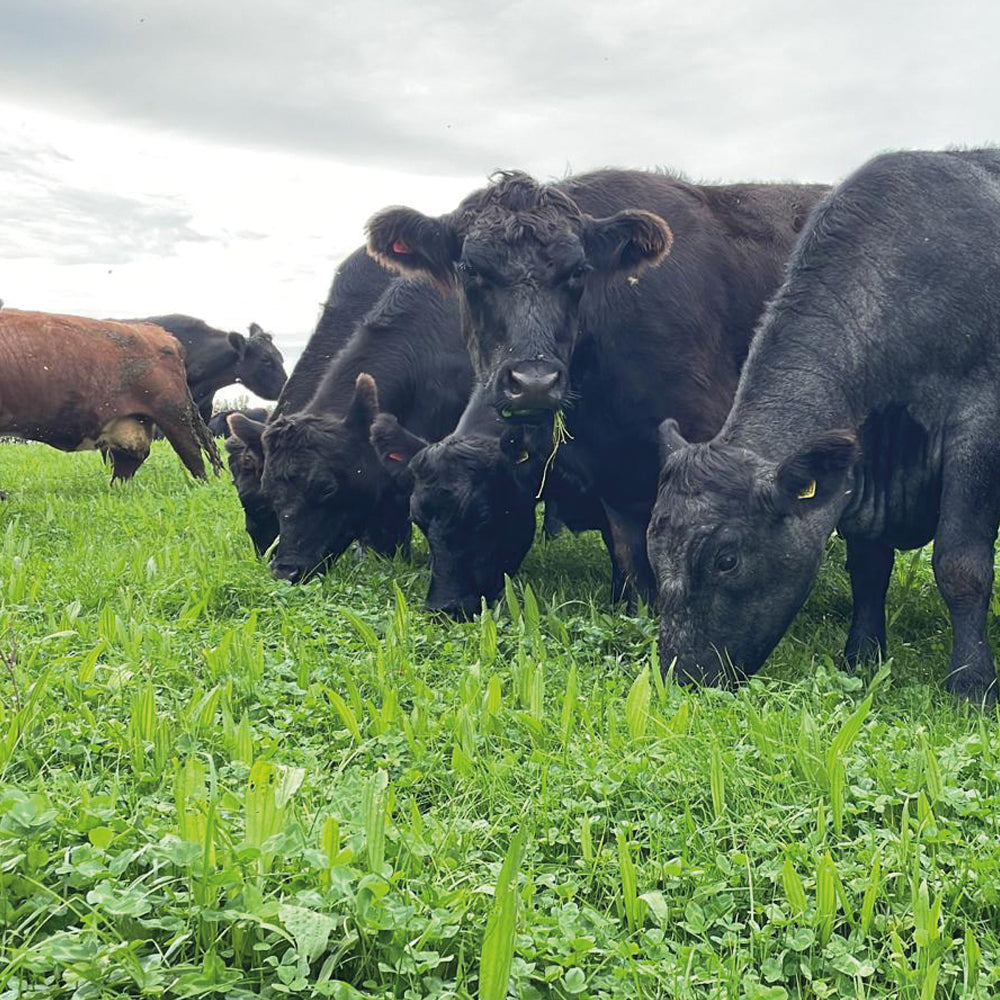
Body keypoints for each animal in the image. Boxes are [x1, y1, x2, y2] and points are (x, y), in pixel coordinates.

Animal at [648, 149, 1000, 704]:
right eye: (654, 551)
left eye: (726, 560)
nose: (682, 677)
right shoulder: (858, 463)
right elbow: (869, 567)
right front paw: (862, 655)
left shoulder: (979, 433)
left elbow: (961, 565)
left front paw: (971, 682)